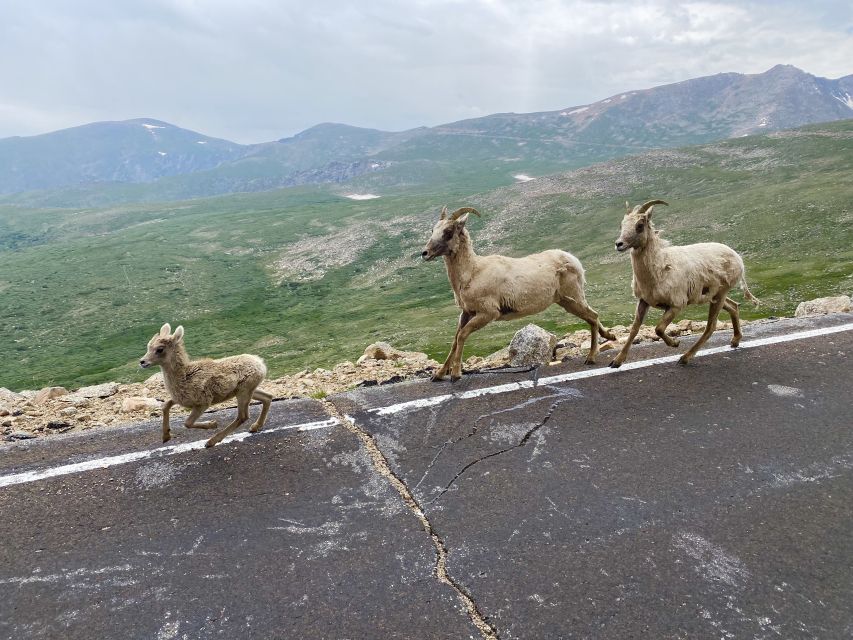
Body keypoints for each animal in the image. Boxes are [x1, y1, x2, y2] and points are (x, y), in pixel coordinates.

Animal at [140, 322, 272, 448]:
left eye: (160, 349)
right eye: (148, 346)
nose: (142, 362)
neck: (184, 375)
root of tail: (261, 364)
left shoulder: (202, 403)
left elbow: (187, 423)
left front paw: (213, 424)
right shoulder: (181, 400)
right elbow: (165, 405)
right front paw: (165, 437)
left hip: (243, 392)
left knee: (243, 416)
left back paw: (211, 442)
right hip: (248, 391)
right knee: (267, 397)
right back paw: (255, 427)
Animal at [422, 205, 612, 380]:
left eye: (448, 231)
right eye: (433, 230)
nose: (425, 253)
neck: (472, 272)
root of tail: (574, 261)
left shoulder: (487, 313)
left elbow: (461, 336)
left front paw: (455, 374)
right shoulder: (466, 313)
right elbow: (455, 341)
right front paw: (438, 375)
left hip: (573, 297)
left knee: (593, 316)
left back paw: (591, 357)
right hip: (567, 301)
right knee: (592, 317)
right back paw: (609, 336)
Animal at [604, 200, 760, 368]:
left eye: (640, 225)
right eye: (621, 225)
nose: (619, 244)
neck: (660, 268)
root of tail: (737, 258)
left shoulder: (676, 305)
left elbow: (659, 329)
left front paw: (675, 343)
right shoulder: (643, 302)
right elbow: (634, 329)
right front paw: (616, 361)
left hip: (720, 294)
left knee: (711, 326)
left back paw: (685, 357)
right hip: (714, 295)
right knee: (733, 307)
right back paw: (735, 341)